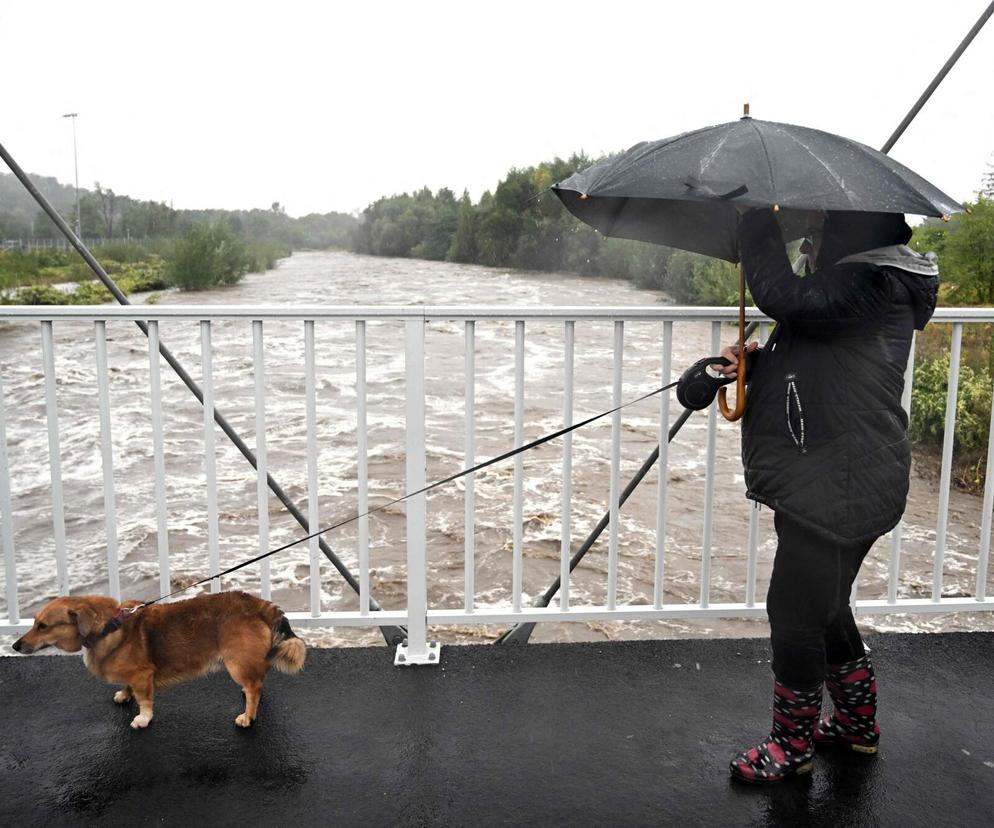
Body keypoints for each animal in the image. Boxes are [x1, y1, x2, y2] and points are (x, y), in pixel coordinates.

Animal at [9, 588, 304, 732]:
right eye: (34, 623)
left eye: (44, 626)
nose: (14, 645)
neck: (108, 627)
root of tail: (262, 606)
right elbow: (128, 687)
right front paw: (123, 694)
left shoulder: (142, 676)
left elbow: (144, 701)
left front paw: (142, 719)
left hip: (235, 662)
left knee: (254, 687)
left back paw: (247, 716)